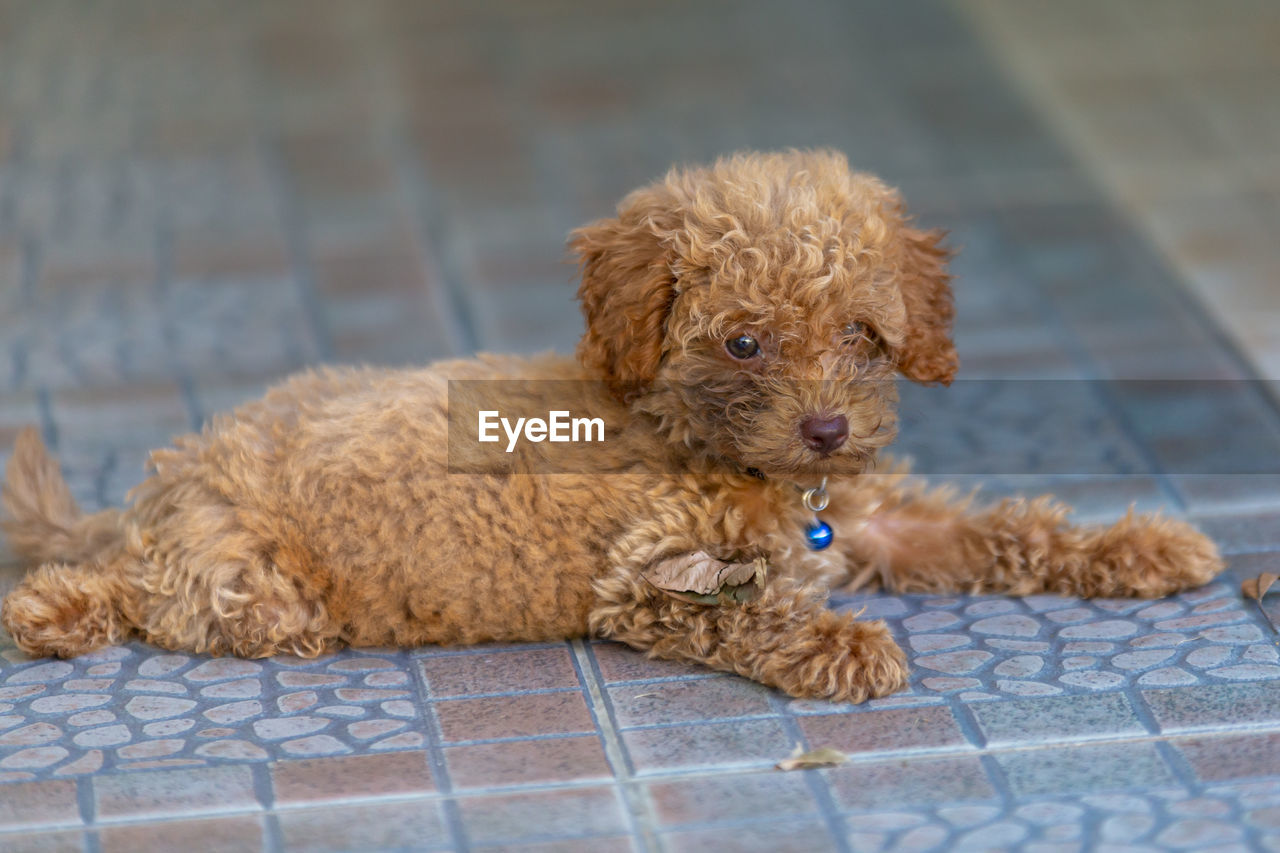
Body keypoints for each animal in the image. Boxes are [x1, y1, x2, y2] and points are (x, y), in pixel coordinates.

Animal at [0, 149, 1218, 701]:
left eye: (862, 335)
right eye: (744, 343)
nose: (828, 430)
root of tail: (160, 486)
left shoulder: (879, 522)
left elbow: (998, 530)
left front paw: (1136, 543)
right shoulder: (647, 576)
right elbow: (748, 613)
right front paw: (836, 643)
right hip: (256, 590)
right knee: (148, 598)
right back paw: (51, 610)